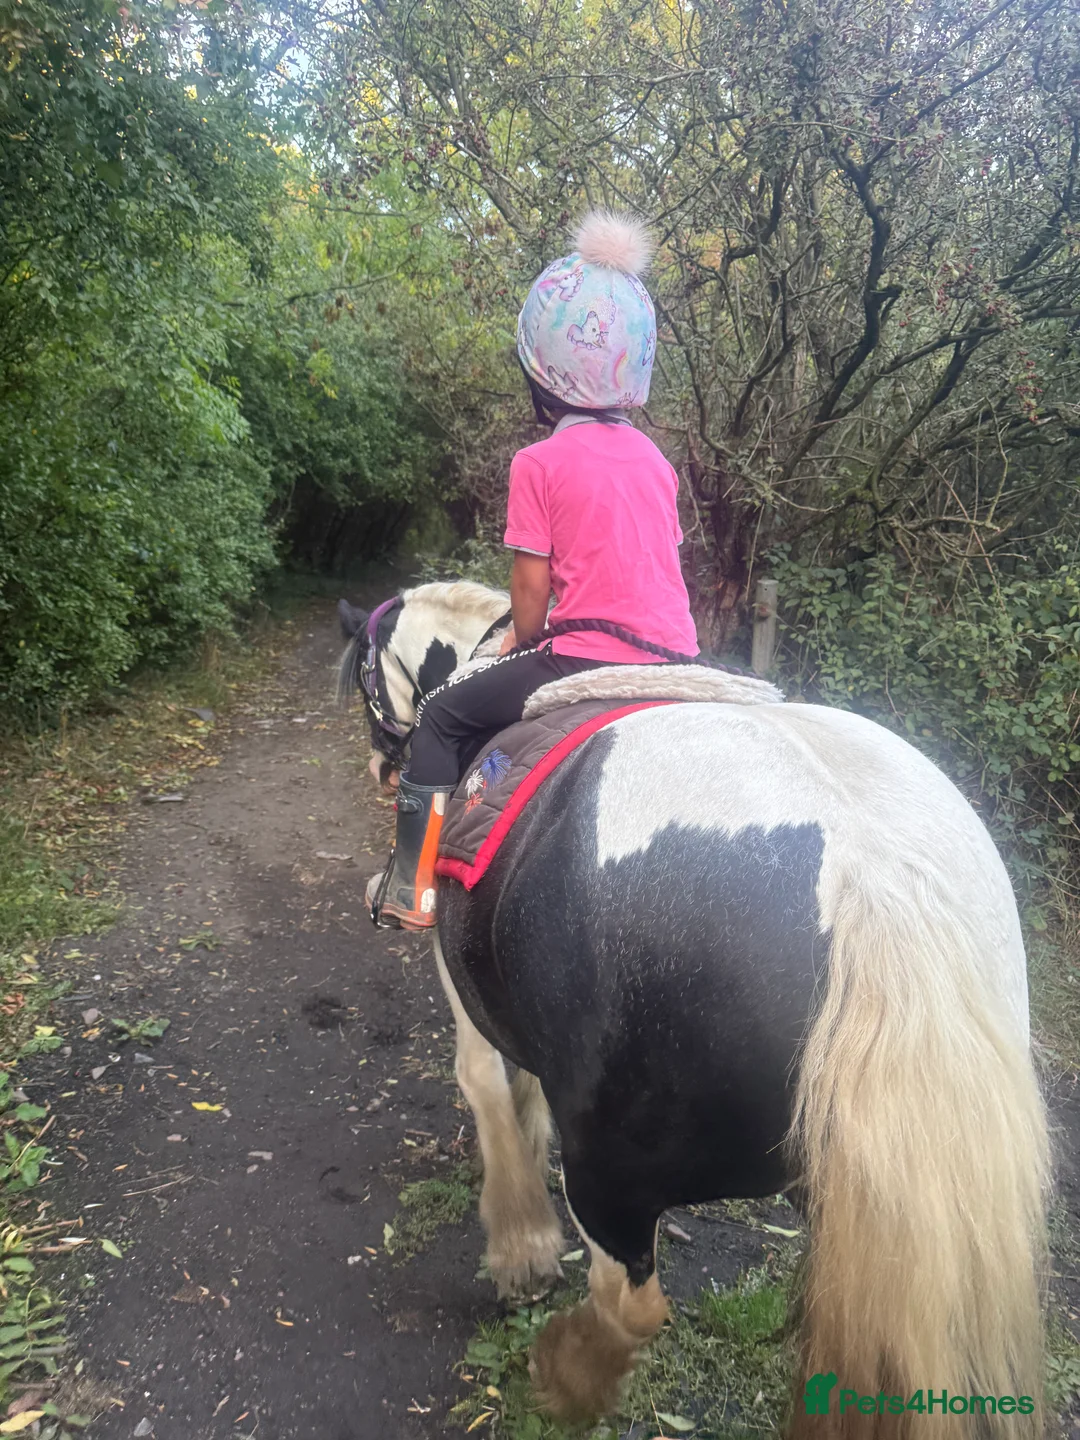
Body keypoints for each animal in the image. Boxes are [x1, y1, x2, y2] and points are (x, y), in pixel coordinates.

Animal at [338, 580, 1050, 1437]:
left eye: (364, 675)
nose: (382, 761)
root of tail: (875, 880)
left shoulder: (463, 976)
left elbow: (484, 1085)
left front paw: (522, 1250)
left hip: (613, 1170)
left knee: (632, 1303)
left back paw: (563, 1374)